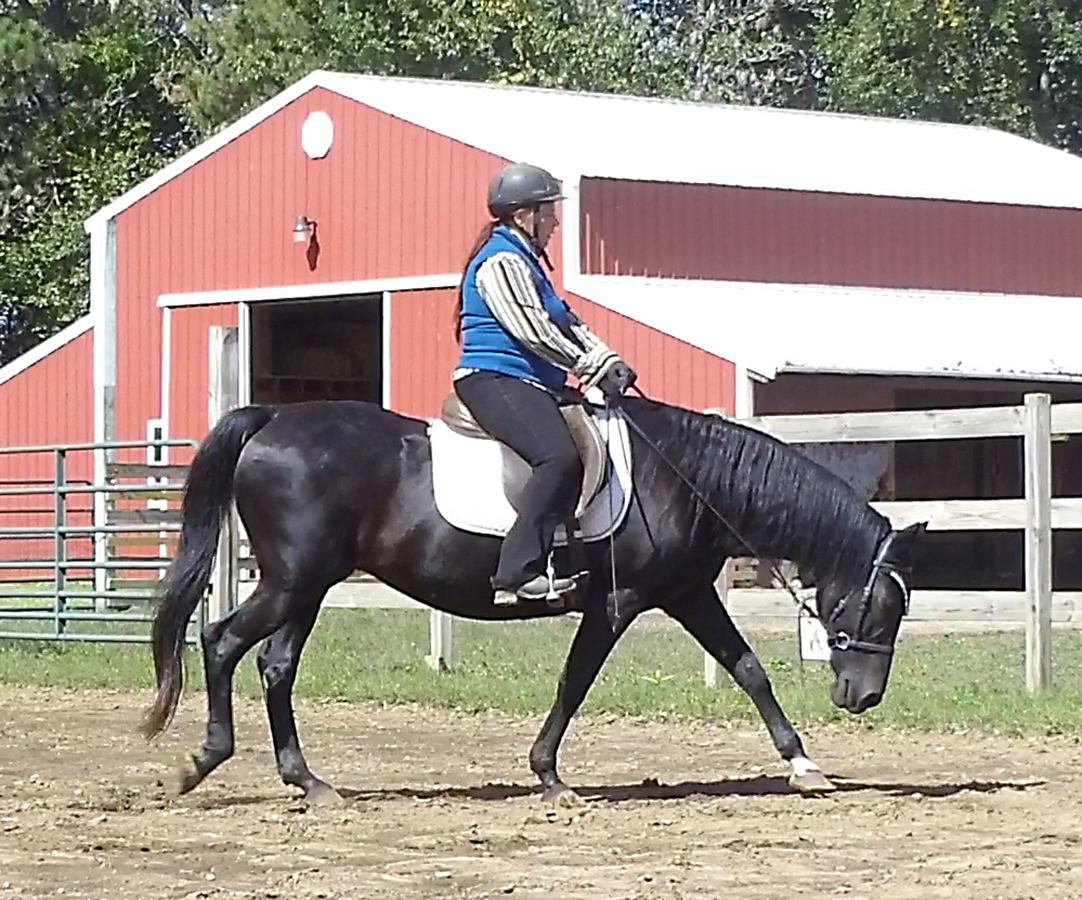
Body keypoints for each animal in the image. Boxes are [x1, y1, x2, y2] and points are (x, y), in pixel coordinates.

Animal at [140, 391, 926, 805]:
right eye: (880, 607)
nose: (866, 697)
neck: (683, 477)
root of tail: (272, 420)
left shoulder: (687, 592)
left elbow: (748, 669)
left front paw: (804, 766)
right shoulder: (619, 602)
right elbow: (575, 681)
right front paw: (549, 776)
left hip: (304, 587)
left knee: (275, 666)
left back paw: (307, 780)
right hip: (292, 582)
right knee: (221, 642)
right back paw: (204, 760)